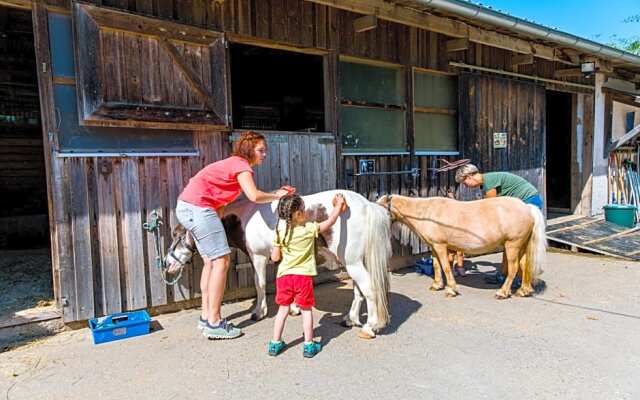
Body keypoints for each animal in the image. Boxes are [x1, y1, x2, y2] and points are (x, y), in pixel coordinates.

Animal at [221, 190, 396, 338]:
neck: (246, 216)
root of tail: (367, 205)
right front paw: (294, 308)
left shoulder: (258, 257)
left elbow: (260, 284)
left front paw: (259, 312)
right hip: (355, 263)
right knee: (358, 292)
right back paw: (350, 319)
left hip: (353, 263)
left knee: (369, 289)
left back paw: (369, 327)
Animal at [376, 195, 544, 298]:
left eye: (379, 207)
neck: (426, 213)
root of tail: (527, 208)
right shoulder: (434, 247)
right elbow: (437, 266)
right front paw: (437, 285)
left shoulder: (441, 246)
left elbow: (445, 267)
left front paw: (451, 289)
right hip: (521, 246)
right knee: (524, 266)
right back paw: (523, 291)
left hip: (512, 246)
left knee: (514, 268)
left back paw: (502, 292)